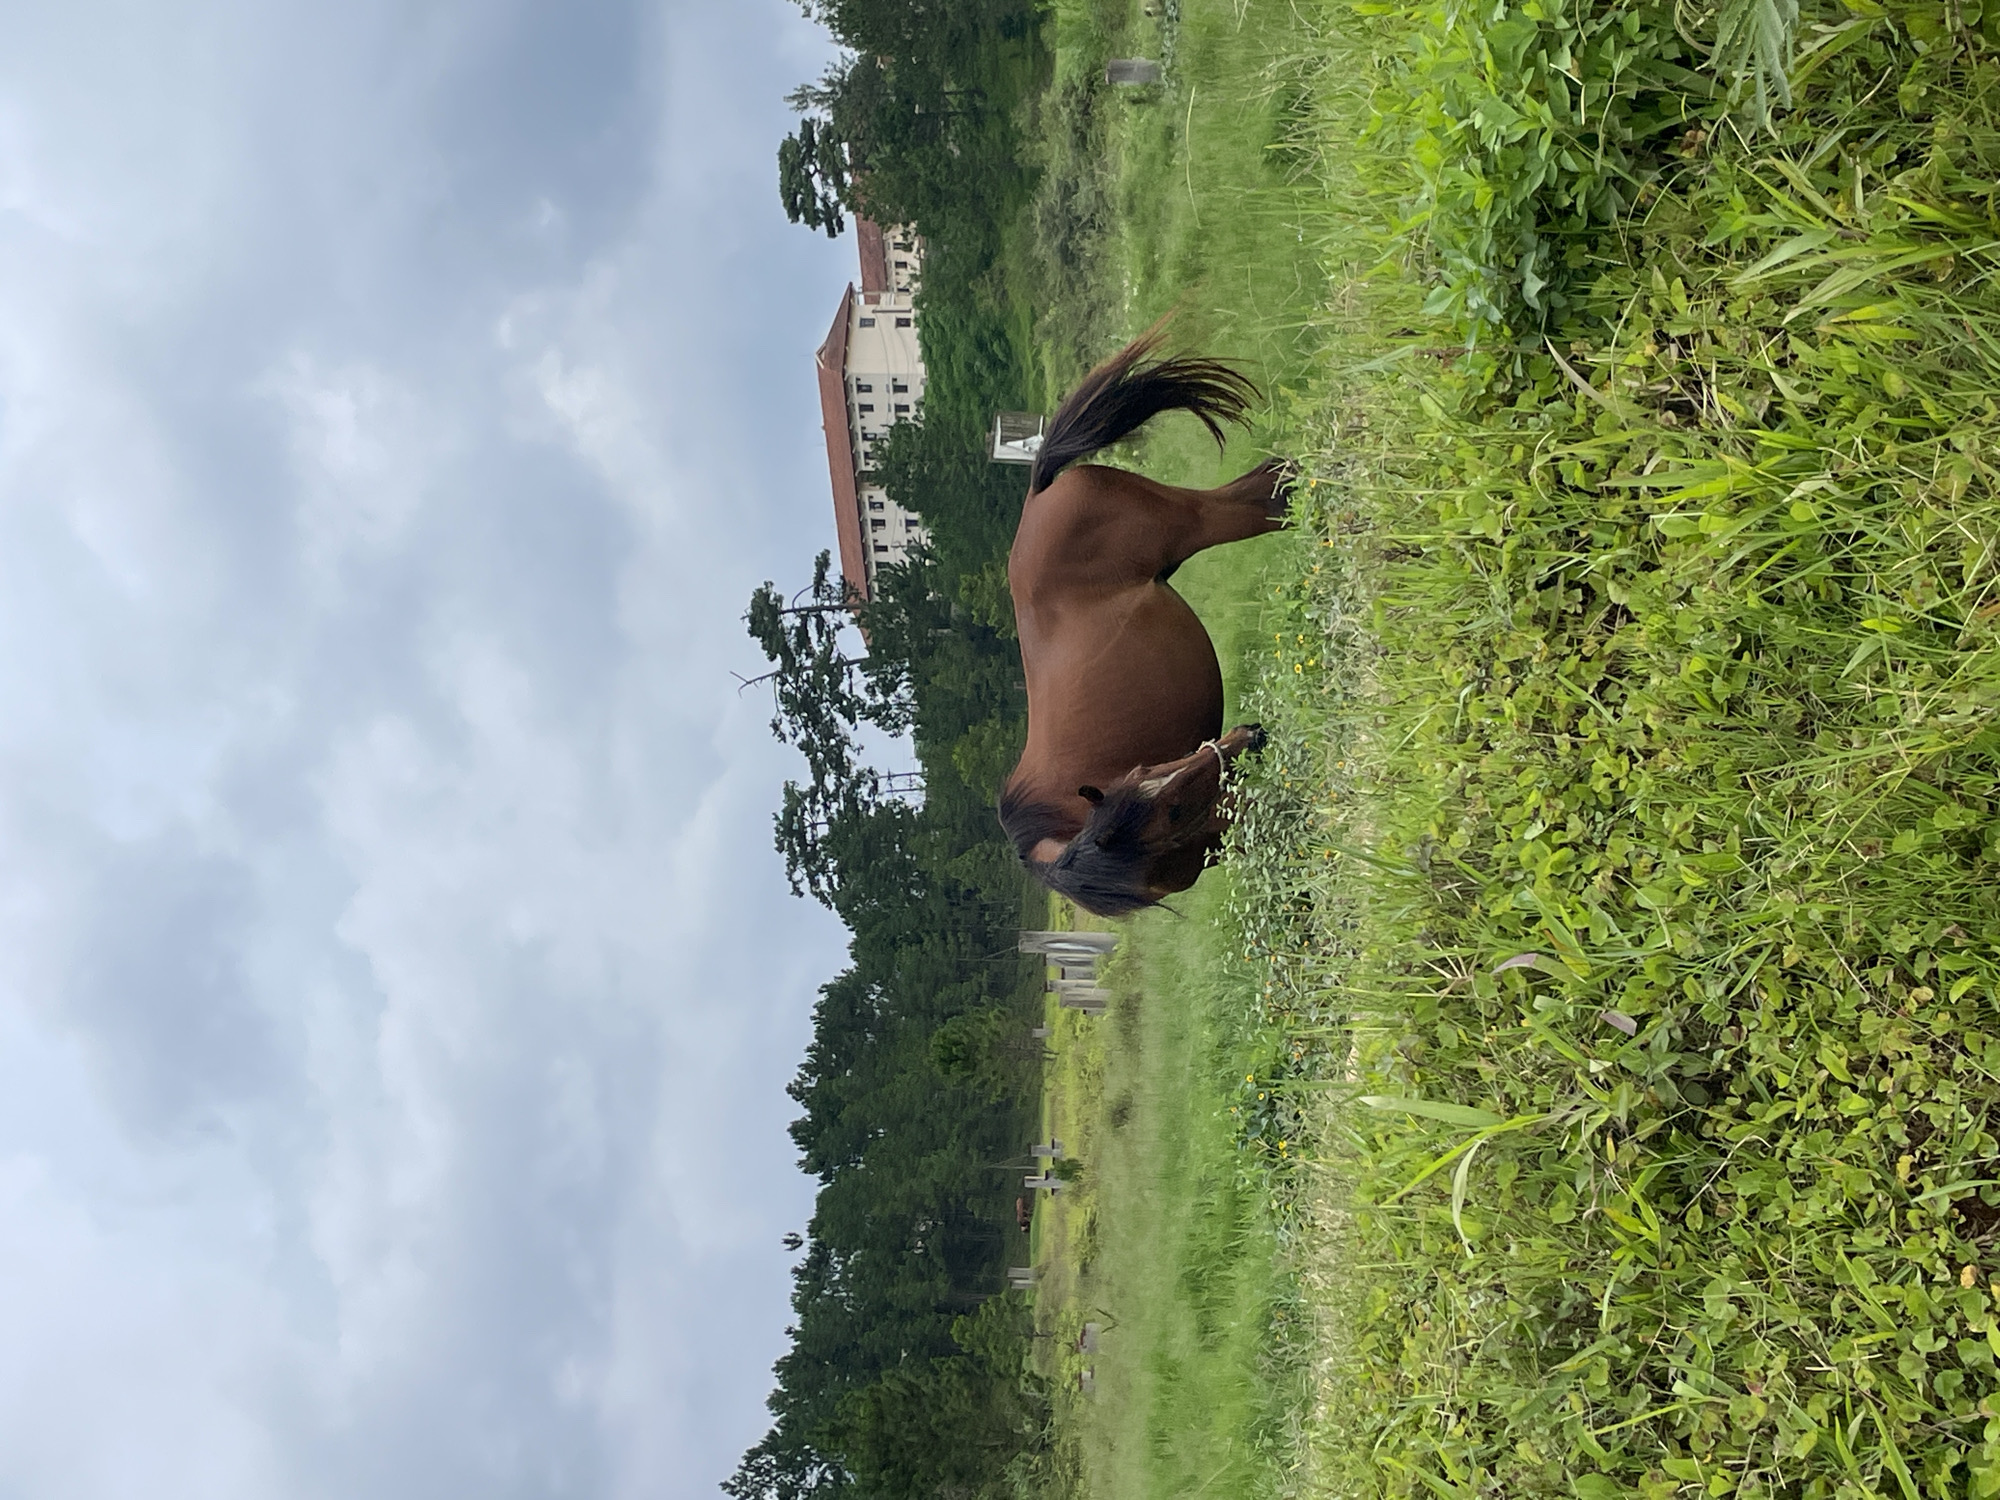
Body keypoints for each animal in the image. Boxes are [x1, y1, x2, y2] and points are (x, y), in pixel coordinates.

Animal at [998, 331, 1293, 917]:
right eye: (1145, 776)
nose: (1248, 735)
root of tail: (1040, 492)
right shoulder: (1225, 819)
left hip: (1198, 522)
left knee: (1266, 495)